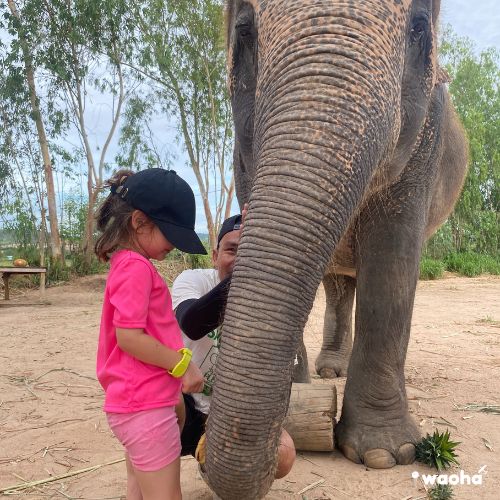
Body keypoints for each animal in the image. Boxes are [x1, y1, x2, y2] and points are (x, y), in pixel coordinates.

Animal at [204, 1, 468, 498]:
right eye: (244, 31)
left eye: (419, 29)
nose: (281, 437)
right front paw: (300, 392)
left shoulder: (427, 138)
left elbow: (393, 258)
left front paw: (385, 454)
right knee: (338, 285)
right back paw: (330, 374)